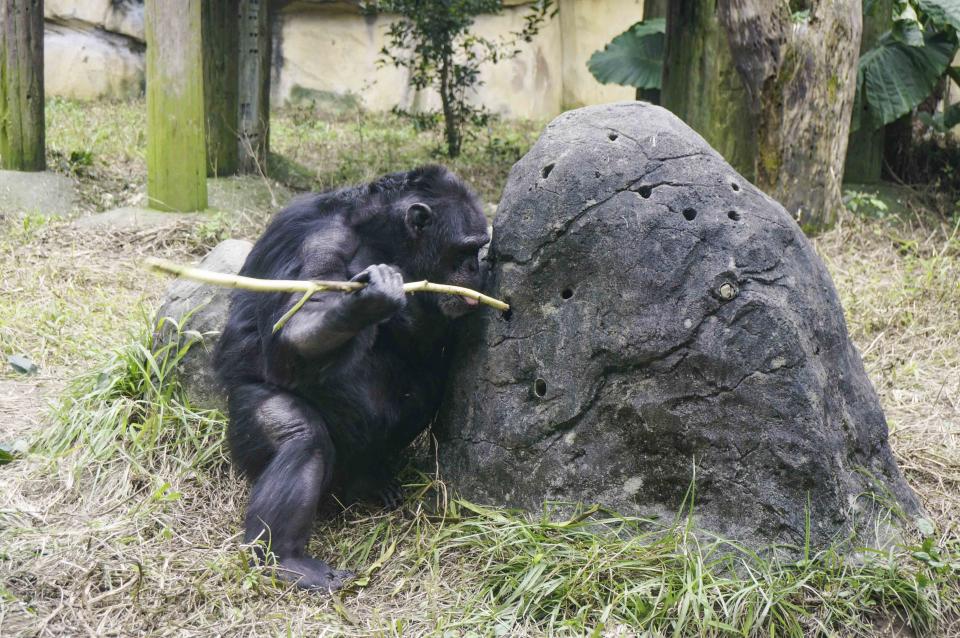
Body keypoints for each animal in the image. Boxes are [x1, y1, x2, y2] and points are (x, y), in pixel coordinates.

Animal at [215, 164, 492, 592]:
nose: (477, 268)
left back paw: (369, 479)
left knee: (420, 394)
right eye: (465, 249)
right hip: (245, 419)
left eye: (480, 248)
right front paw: (368, 300)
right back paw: (286, 559)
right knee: (301, 438)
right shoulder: (322, 241)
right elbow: (300, 320)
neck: (381, 239)